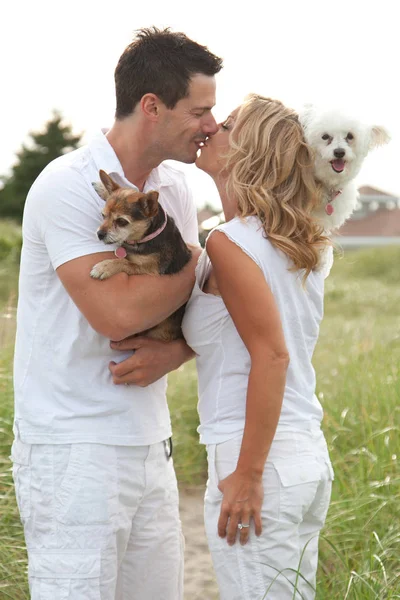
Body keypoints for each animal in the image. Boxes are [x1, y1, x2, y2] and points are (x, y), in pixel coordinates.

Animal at [91, 170, 191, 342]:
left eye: (122, 221)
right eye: (103, 215)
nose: (100, 234)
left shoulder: (150, 269)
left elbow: (124, 263)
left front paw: (105, 266)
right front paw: (102, 187)